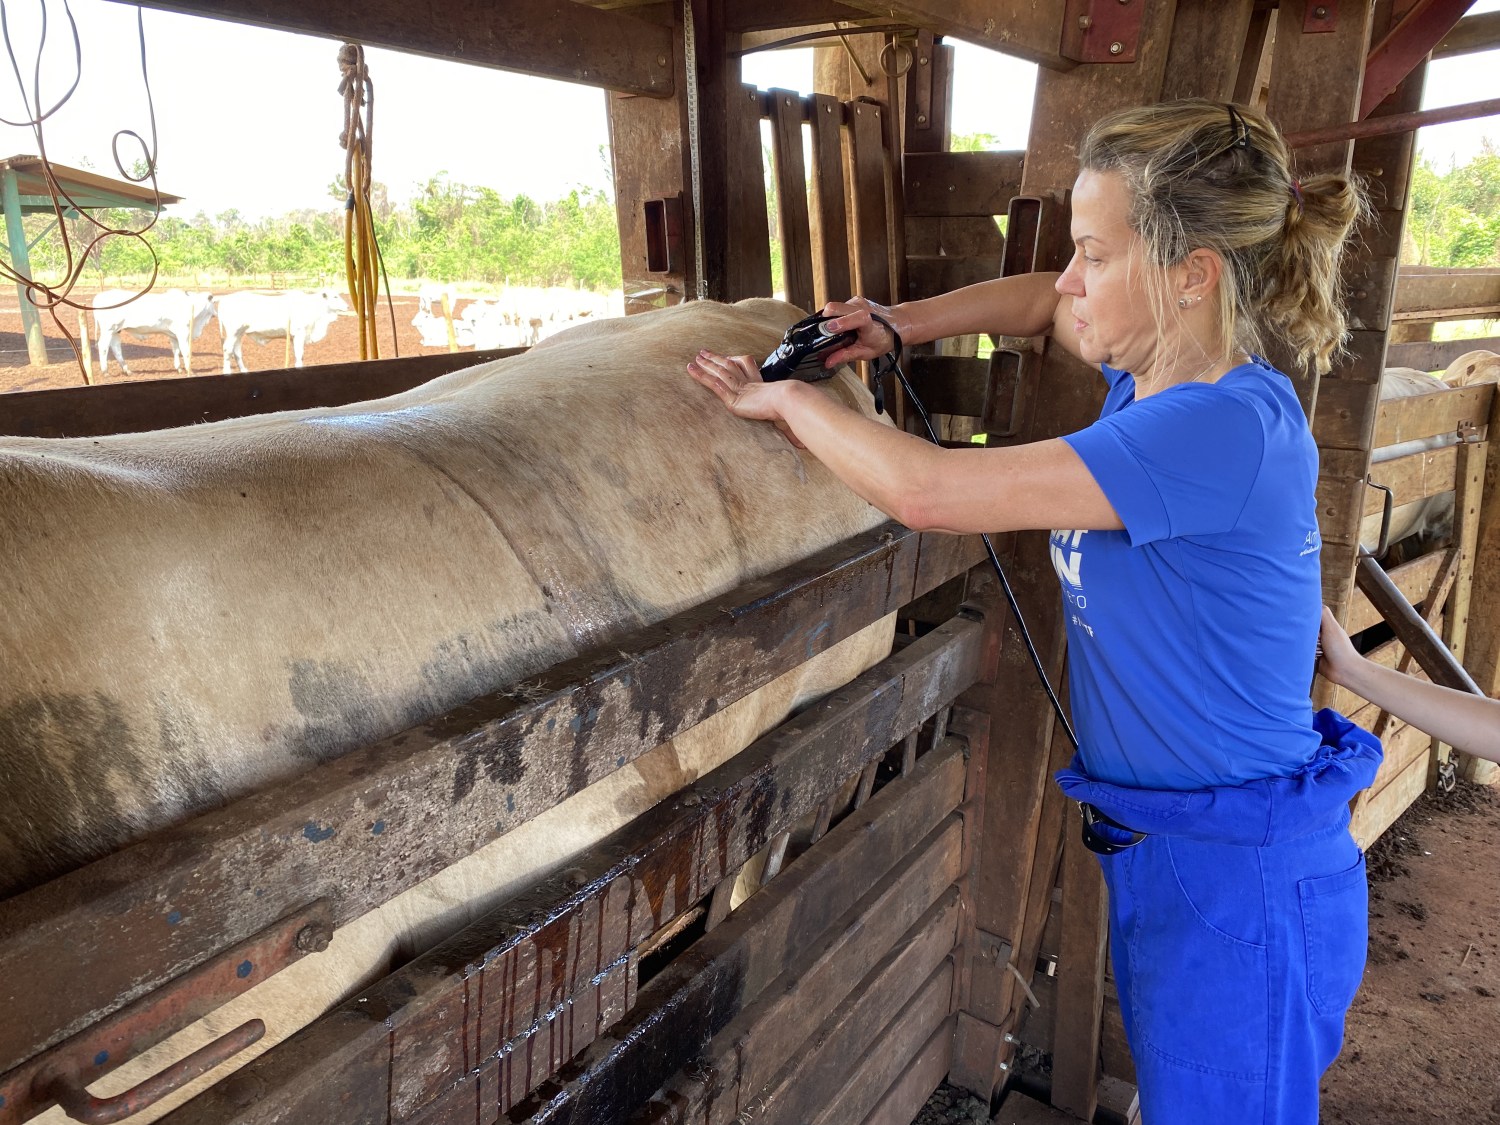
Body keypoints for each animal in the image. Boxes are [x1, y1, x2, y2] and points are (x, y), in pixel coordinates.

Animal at [214, 291, 351, 375]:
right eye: (335, 296)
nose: (348, 306)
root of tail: (224, 299)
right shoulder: (299, 333)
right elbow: (299, 354)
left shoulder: (293, 337)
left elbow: (297, 354)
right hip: (233, 332)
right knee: (227, 349)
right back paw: (227, 372)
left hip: (239, 333)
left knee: (236, 351)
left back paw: (244, 370)